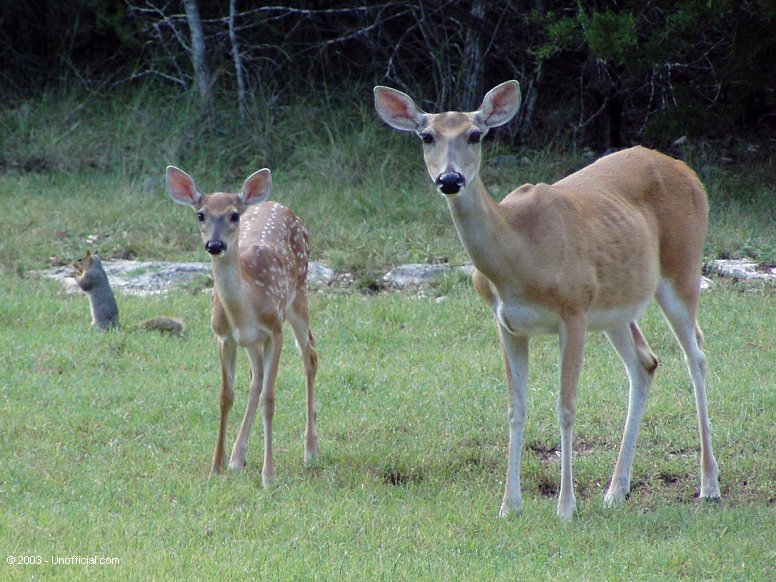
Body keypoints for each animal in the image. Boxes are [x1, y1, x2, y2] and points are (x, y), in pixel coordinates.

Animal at [167, 167, 318, 486]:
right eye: (200, 214)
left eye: (234, 215)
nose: (215, 245)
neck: (245, 305)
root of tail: (276, 203)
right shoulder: (224, 336)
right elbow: (226, 396)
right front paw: (217, 466)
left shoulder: (274, 330)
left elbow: (269, 400)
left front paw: (269, 475)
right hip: (251, 341)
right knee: (256, 377)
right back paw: (238, 457)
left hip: (299, 293)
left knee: (309, 355)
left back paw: (311, 450)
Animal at [374, 81, 720, 520]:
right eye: (426, 136)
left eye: (475, 134)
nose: (450, 179)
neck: (519, 256)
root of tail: (689, 172)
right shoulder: (507, 324)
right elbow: (515, 409)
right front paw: (509, 505)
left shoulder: (573, 310)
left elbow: (566, 407)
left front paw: (566, 507)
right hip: (614, 308)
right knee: (645, 363)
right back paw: (616, 489)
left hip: (681, 268)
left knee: (697, 356)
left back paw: (708, 486)